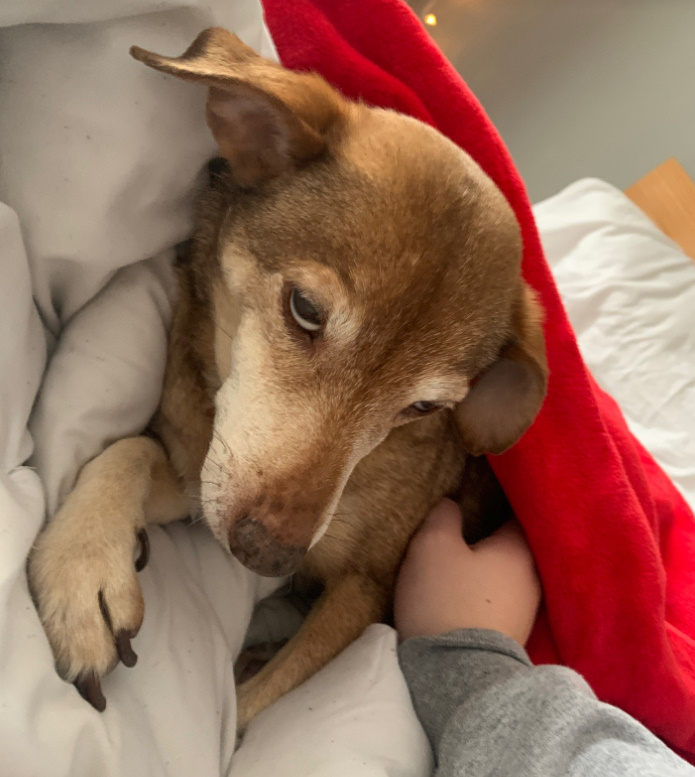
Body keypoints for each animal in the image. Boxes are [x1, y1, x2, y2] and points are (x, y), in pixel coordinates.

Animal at [28, 27, 548, 732]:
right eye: (305, 309)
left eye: (422, 407)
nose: (269, 558)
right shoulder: (203, 481)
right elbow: (127, 448)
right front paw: (84, 569)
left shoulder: (367, 587)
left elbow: (253, 711)